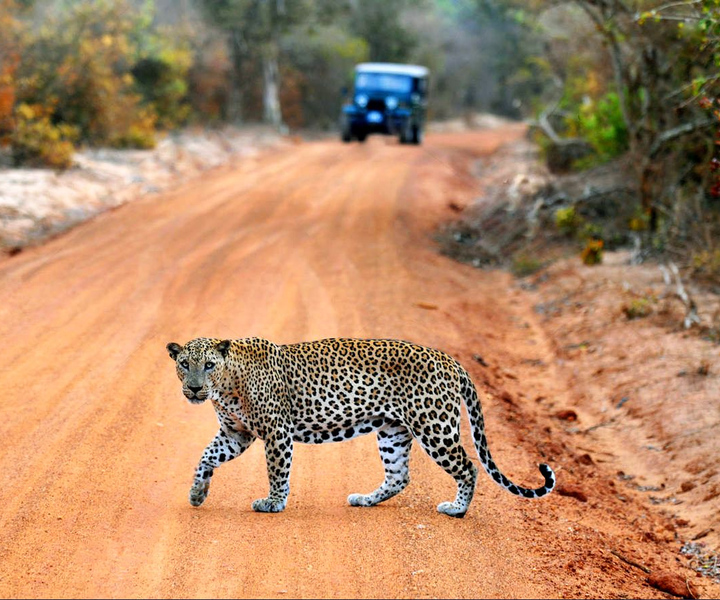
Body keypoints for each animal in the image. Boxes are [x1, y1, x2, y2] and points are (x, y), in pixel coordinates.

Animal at [169, 336, 556, 516]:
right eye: (185, 364)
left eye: (208, 365)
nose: (194, 388)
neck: (226, 386)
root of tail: (451, 361)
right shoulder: (236, 434)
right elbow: (206, 457)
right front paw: (197, 493)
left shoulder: (277, 432)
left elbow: (277, 471)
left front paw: (273, 503)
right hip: (392, 431)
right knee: (399, 476)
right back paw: (365, 499)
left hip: (435, 427)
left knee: (468, 466)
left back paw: (457, 509)